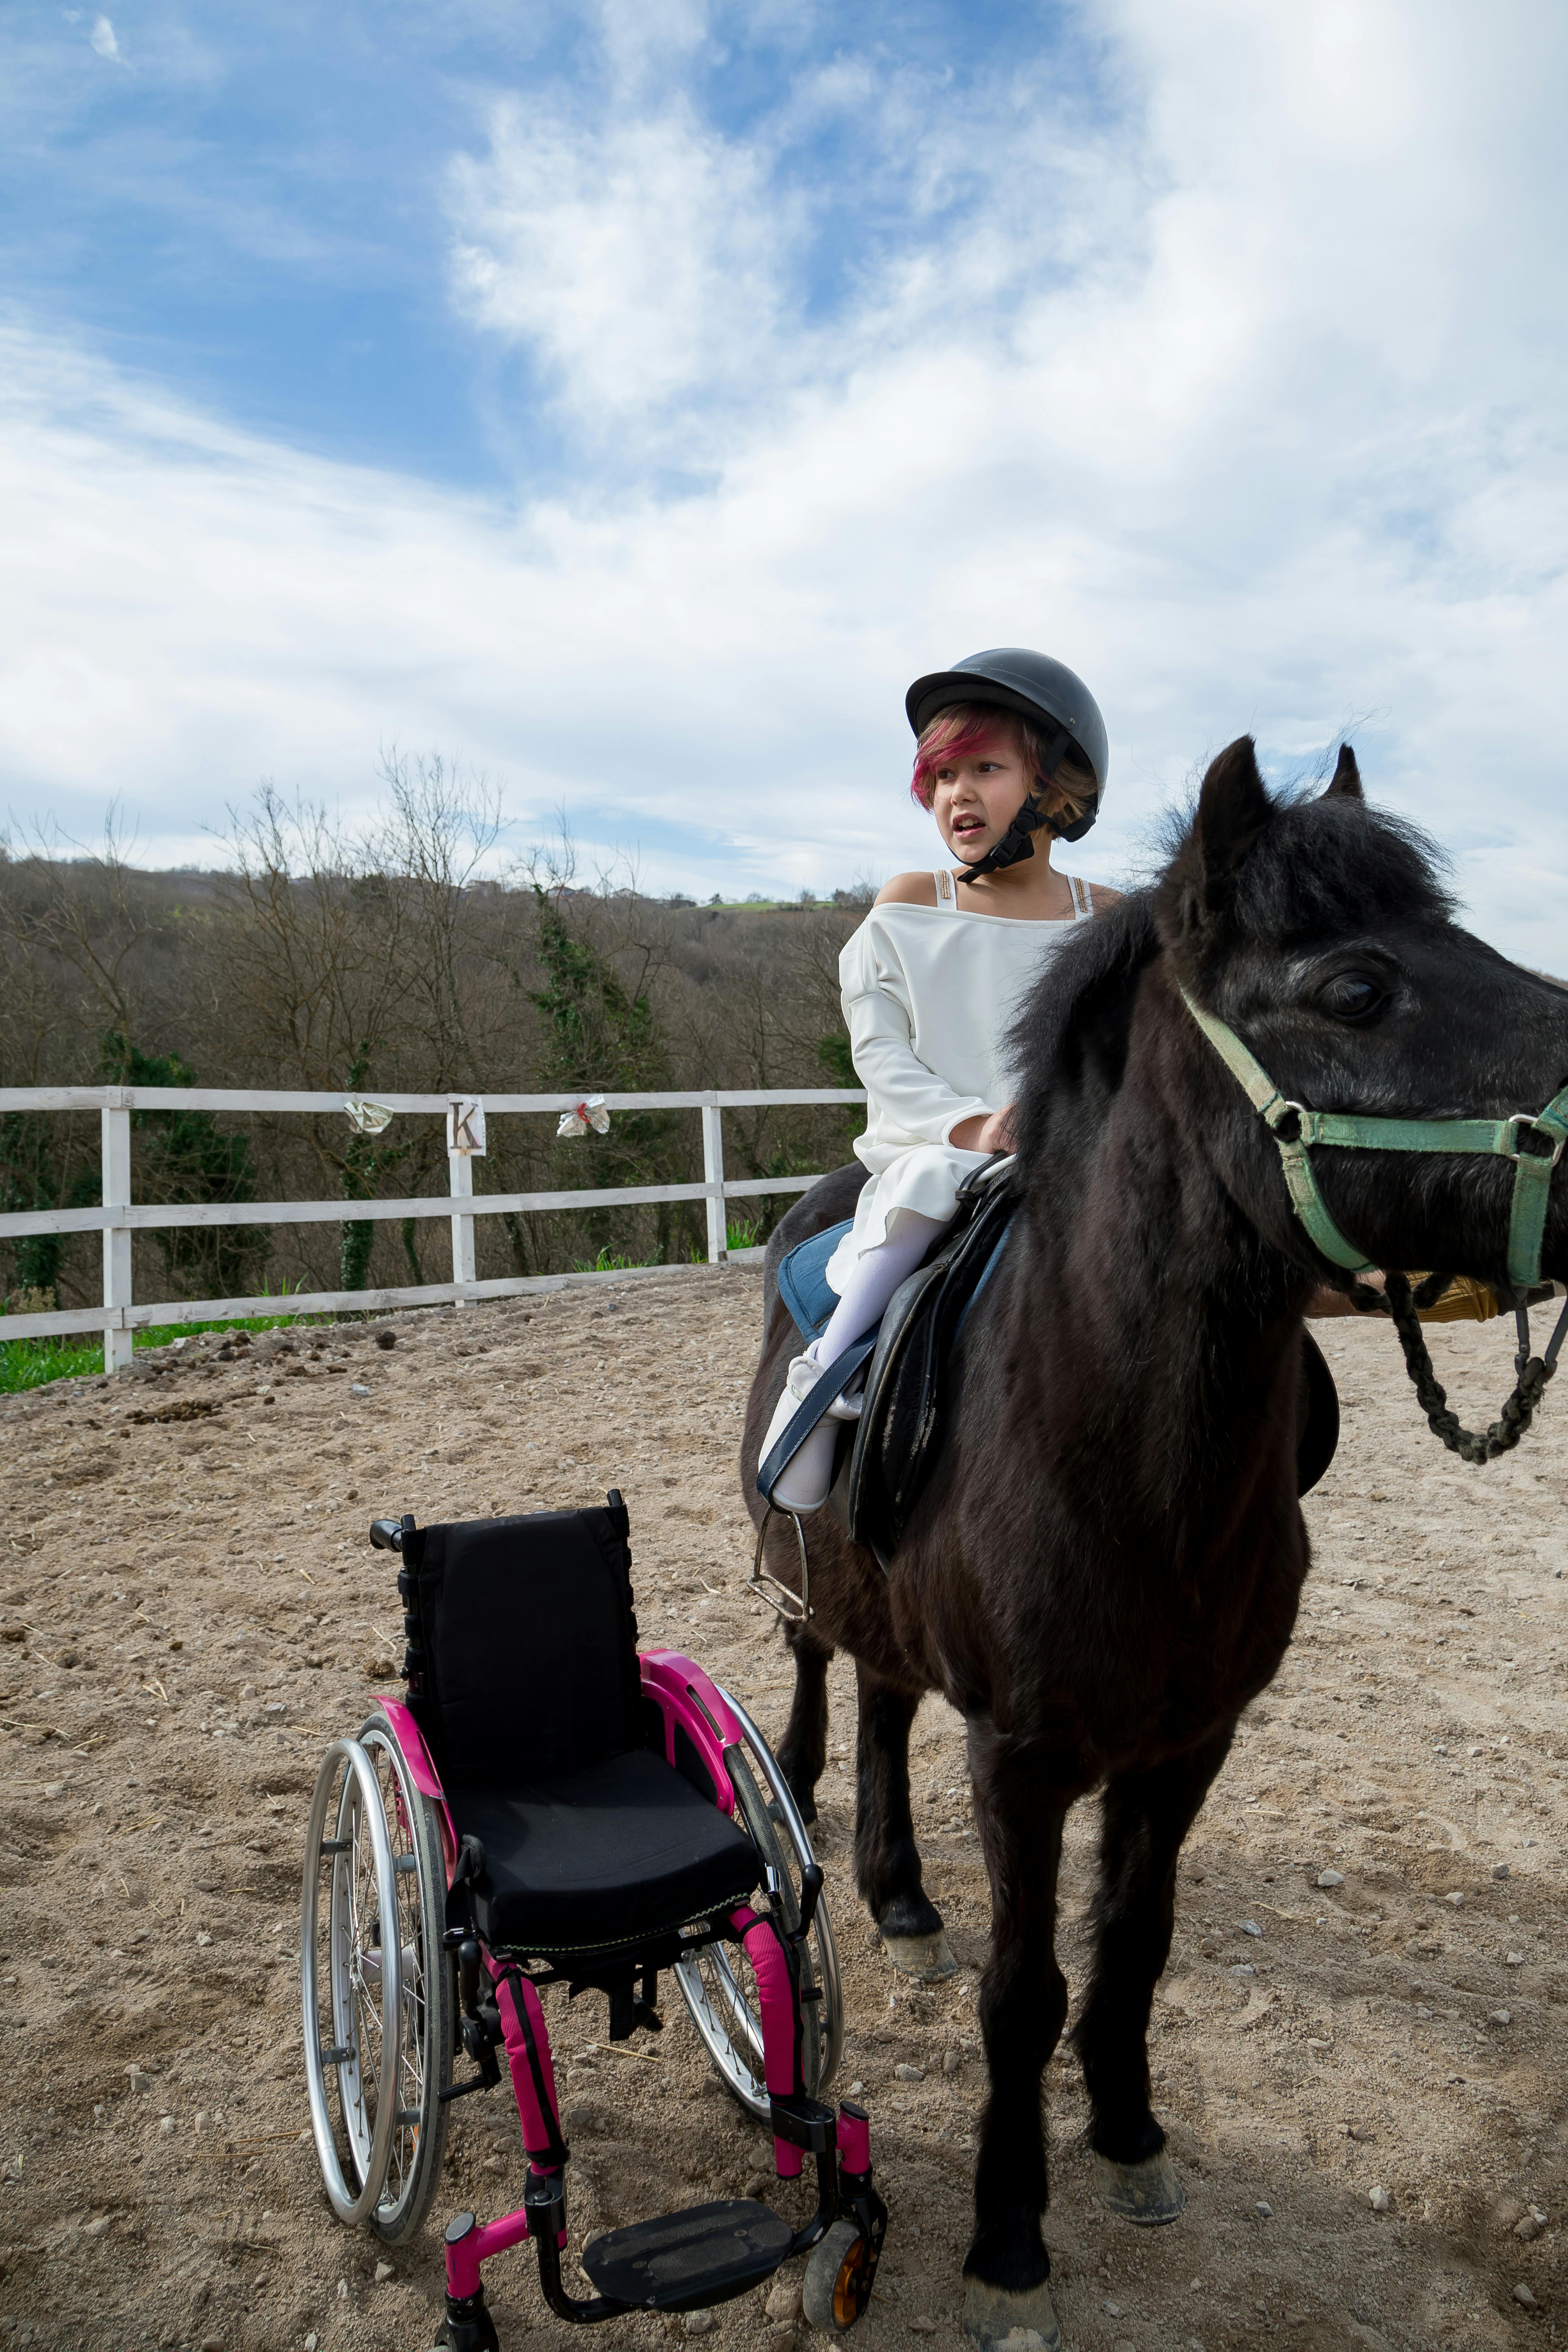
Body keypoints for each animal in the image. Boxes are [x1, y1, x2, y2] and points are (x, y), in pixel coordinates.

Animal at [740, 738, 1568, 2351]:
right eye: (1357, 987)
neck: (1125, 1466)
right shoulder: (1021, 1756)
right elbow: (1022, 1992)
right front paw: (1007, 2228)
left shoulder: (1188, 1741)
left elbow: (1132, 1946)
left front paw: (1125, 2137)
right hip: (809, 1577)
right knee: (820, 1679)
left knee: (883, 1696)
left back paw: (898, 1893)